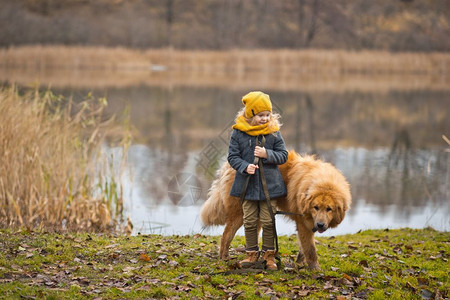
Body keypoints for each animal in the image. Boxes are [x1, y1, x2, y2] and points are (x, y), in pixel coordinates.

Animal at [200, 150, 352, 270]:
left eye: (329, 209)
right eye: (316, 208)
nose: (320, 225)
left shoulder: (308, 224)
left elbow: (303, 248)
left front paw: (300, 262)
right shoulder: (303, 224)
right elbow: (310, 250)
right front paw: (315, 269)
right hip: (240, 213)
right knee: (226, 235)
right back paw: (224, 257)